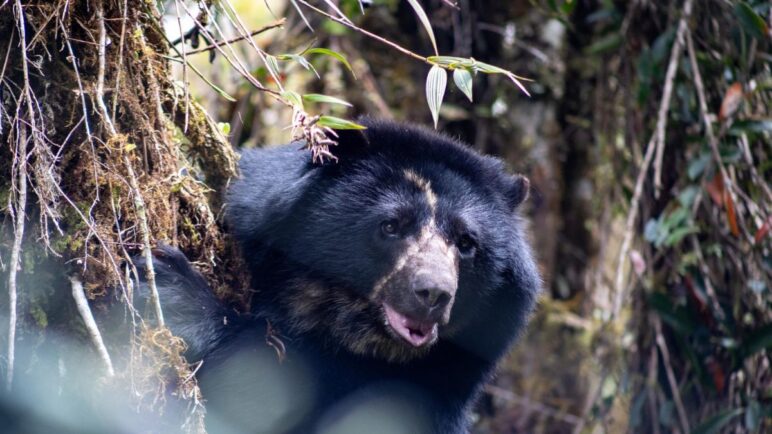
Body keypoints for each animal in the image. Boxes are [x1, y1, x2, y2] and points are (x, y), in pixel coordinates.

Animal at [137, 118, 541, 434]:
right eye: (391, 226)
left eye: (466, 242)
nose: (433, 293)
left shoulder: (436, 391)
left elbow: (256, 379)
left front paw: (174, 292)